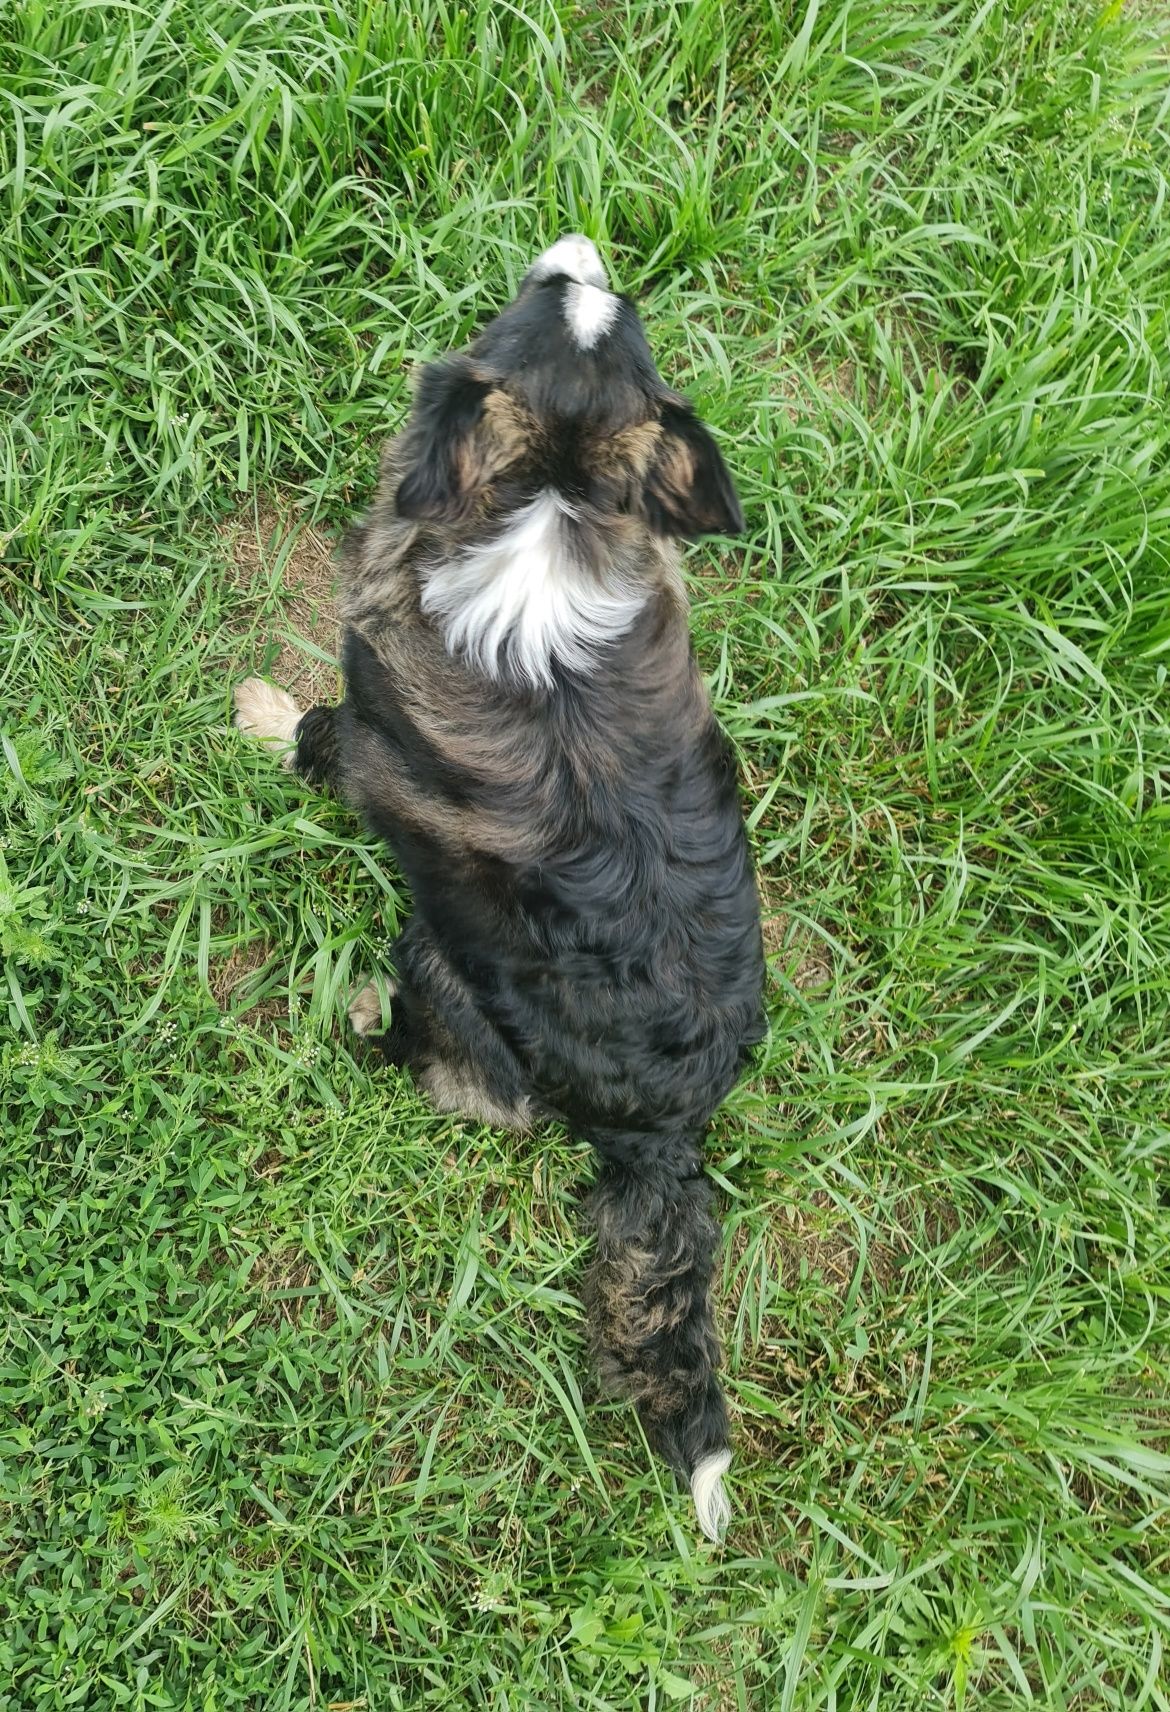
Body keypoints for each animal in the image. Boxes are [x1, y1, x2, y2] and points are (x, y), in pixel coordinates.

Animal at [238, 237, 767, 1540]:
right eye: (607, 311)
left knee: (452, 1073)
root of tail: (665, 1134)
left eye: (525, 303)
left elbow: (312, 733)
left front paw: (257, 715)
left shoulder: (362, 717)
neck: (552, 493)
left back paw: (365, 1019)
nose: (578, 246)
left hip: (436, 958)